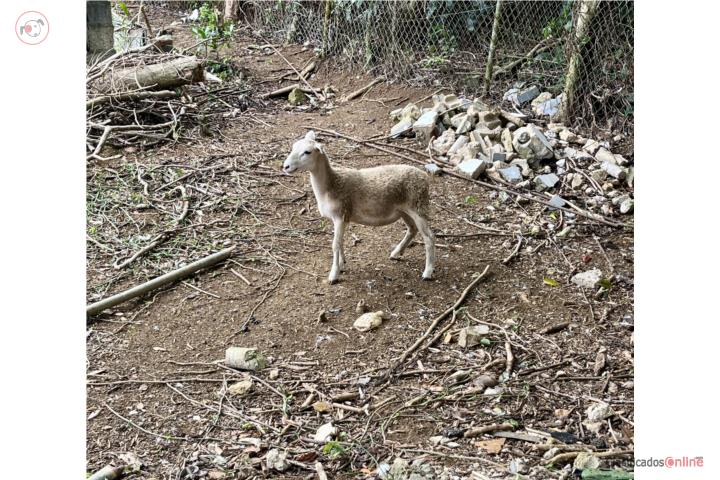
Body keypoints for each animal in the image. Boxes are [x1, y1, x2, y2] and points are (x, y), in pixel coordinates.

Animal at [283, 131, 435, 284]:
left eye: (307, 152)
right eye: (293, 147)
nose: (285, 166)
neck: (331, 184)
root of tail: (424, 177)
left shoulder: (340, 215)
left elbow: (335, 245)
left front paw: (334, 274)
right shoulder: (343, 217)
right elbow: (340, 242)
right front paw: (341, 264)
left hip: (418, 206)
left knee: (429, 237)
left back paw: (427, 272)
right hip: (405, 210)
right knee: (412, 229)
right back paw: (397, 252)